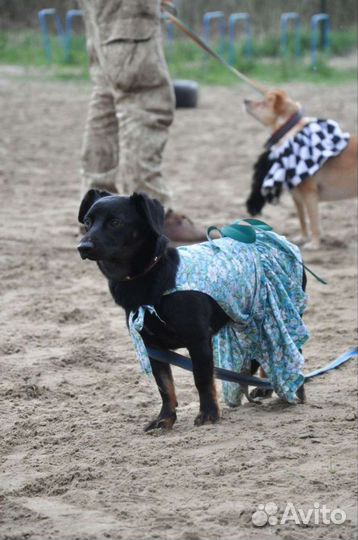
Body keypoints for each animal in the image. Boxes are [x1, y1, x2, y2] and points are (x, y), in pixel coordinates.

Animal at [77, 190, 304, 430]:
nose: (83, 247)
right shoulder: (152, 347)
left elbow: (202, 379)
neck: (149, 277)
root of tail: (275, 238)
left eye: (116, 222)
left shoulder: (198, 340)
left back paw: (294, 393)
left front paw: (209, 414)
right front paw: (165, 418)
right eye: (87, 222)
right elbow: (164, 386)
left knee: (291, 353)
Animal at [245, 89, 356, 250]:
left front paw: (314, 244)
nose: (245, 100)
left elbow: (314, 221)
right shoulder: (296, 196)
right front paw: (303, 238)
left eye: (264, 103)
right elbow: (302, 219)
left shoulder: (310, 194)